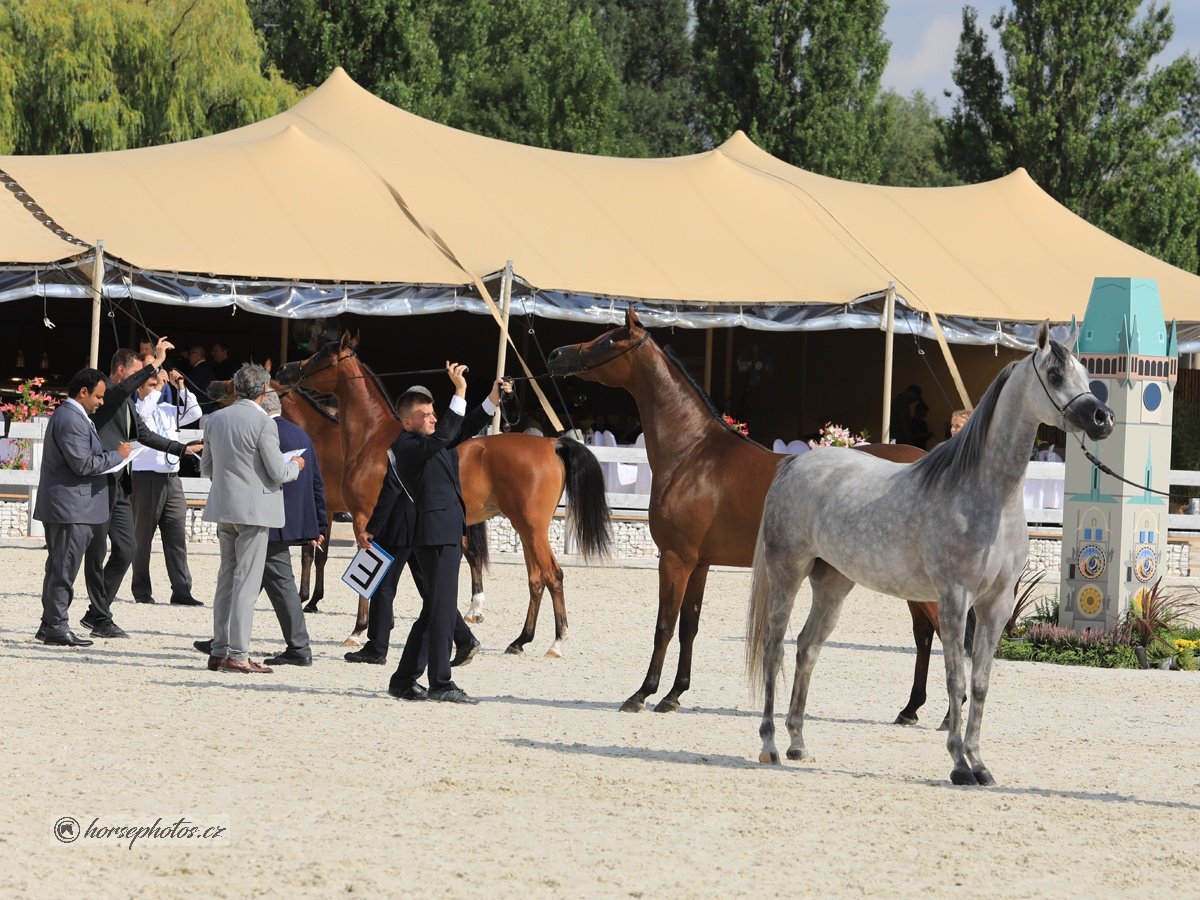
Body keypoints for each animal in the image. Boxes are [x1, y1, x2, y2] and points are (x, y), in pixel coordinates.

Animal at [277, 336, 614, 657]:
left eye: (321, 355)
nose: (285, 370)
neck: (374, 440)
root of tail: (552, 443)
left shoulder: (364, 519)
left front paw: (358, 630)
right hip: (527, 529)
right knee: (536, 579)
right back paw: (520, 641)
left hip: (532, 528)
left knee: (553, 575)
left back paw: (556, 643)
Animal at [549, 307, 955, 724]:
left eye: (607, 341)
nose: (555, 355)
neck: (693, 453)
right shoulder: (699, 563)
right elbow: (689, 626)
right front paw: (674, 695)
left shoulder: (676, 559)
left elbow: (664, 625)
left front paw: (643, 693)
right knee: (925, 635)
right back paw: (910, 709)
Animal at [748, 321, 1113, 787]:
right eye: (1054, 374)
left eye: (1087, 375)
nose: (1103, 419)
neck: (988, 496)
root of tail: (794, 464)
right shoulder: (955, 598)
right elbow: (955, 678)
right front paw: (958, 765)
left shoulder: (996, 604)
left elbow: (979, 683)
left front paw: (980, 764)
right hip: (787, 574)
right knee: (774, 648)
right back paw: (770, 745)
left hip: (833, 584)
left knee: (807, 648)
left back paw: (798, 743)